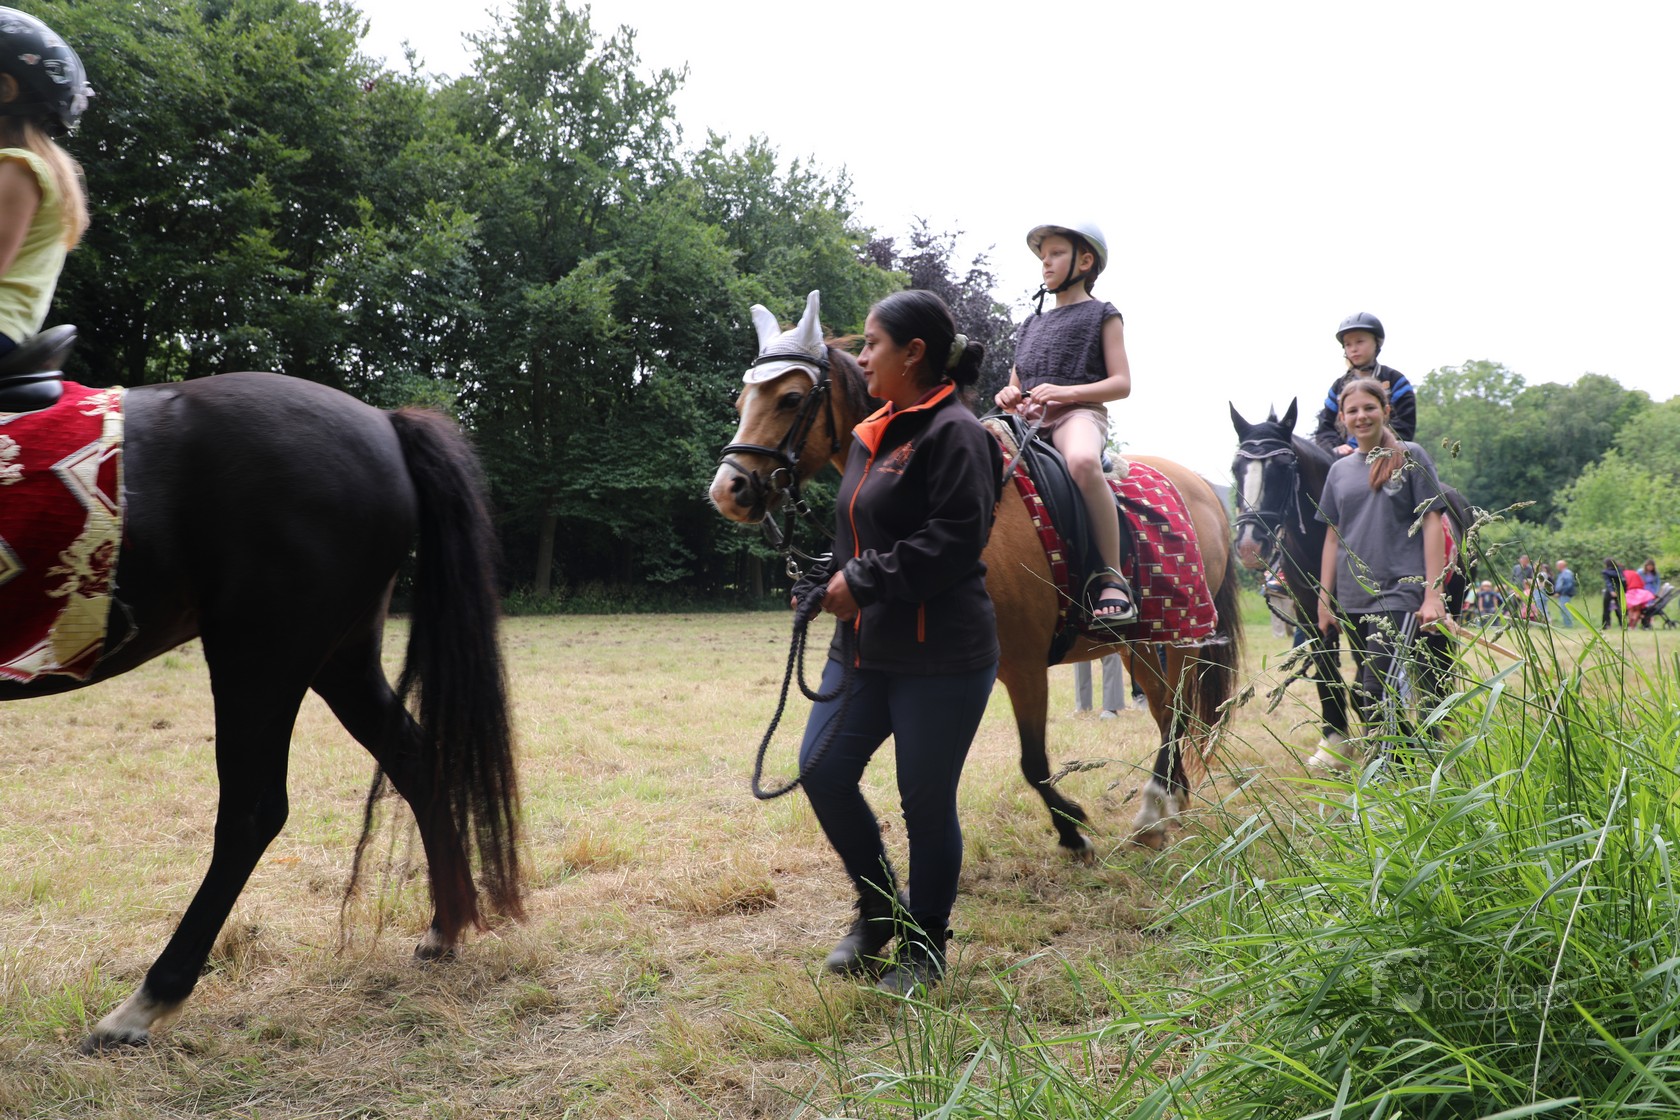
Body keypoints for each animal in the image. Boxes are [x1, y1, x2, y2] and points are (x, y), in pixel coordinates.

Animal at [0, 371, 522, 1053]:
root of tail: (383, 421)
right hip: (338, 660)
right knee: (414, 762)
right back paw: (444, 929)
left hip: (260, 655)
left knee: (251, 814)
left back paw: (147, 1002)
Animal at [708, 296, 1242, 852]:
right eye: (742, 400)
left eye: (790, 398)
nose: (728, 489)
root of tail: (1202, 489)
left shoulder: (1024, 668)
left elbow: (1033, 762)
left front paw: (1072, 830)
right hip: (1140, 644)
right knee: (1166, 710)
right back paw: (1169, 803)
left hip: (1177, 641)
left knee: (1173, 712)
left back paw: (1155, 808)